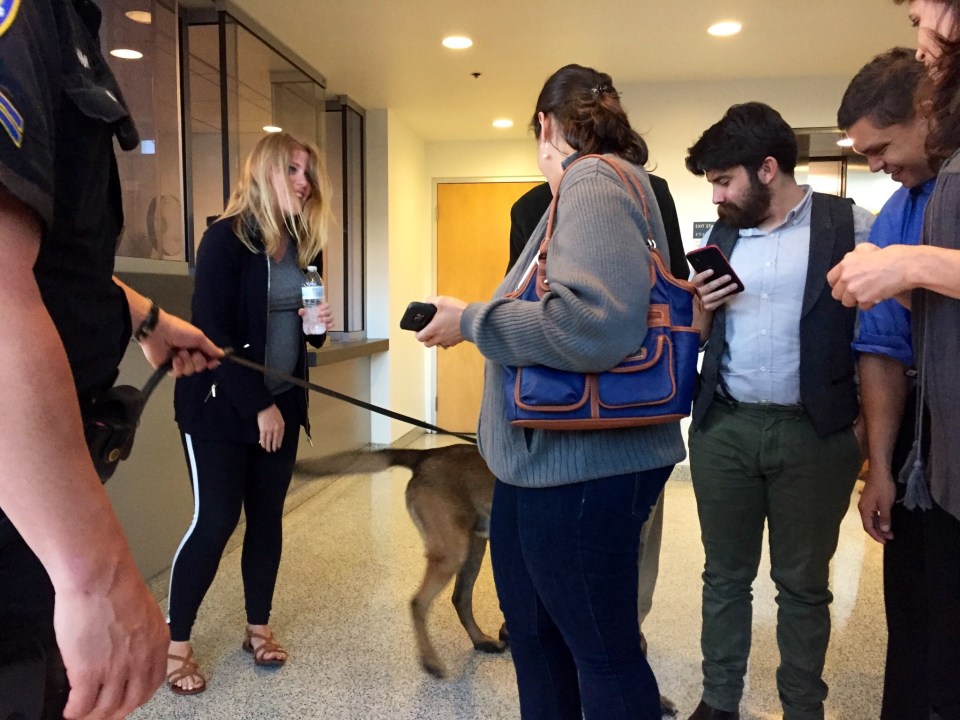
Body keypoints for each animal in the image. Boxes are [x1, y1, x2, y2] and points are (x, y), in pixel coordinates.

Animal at [298, 443, 508, 678]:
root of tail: (428, 454)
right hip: (453, 551)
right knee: (419, 602)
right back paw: (430, 660)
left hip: (474, 545)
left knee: (460, 598)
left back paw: (481, 641)